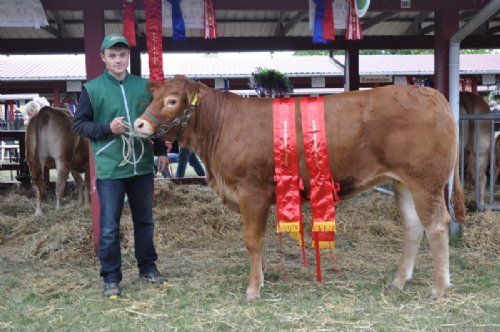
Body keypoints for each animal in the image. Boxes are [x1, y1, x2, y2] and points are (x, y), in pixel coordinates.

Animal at [133, 76, 464, 300]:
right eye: (153, 97)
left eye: (172, 100)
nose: (138, 125)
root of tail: (431, 93)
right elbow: (260, 241)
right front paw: (262, 277)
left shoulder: (251, 191)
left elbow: (252, 240)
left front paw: (253, 289)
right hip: (403, 182)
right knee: (413, 226)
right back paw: (399, 281)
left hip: (425, 181)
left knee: (436, 225)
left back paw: (439, 288)